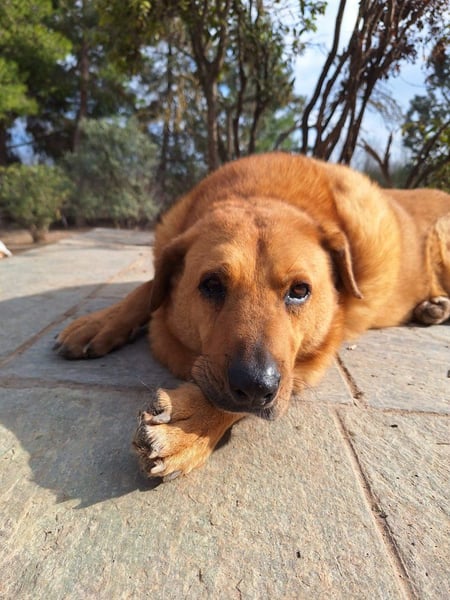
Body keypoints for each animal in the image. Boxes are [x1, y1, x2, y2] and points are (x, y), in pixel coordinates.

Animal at [55, 153, 450, 481]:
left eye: (300, 290)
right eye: (211, 284)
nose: (256, 386)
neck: (261, 192)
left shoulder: (312, 356)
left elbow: (238, 400)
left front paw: (190, 426)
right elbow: (147, 289)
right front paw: (98, 323)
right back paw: (432, 307)